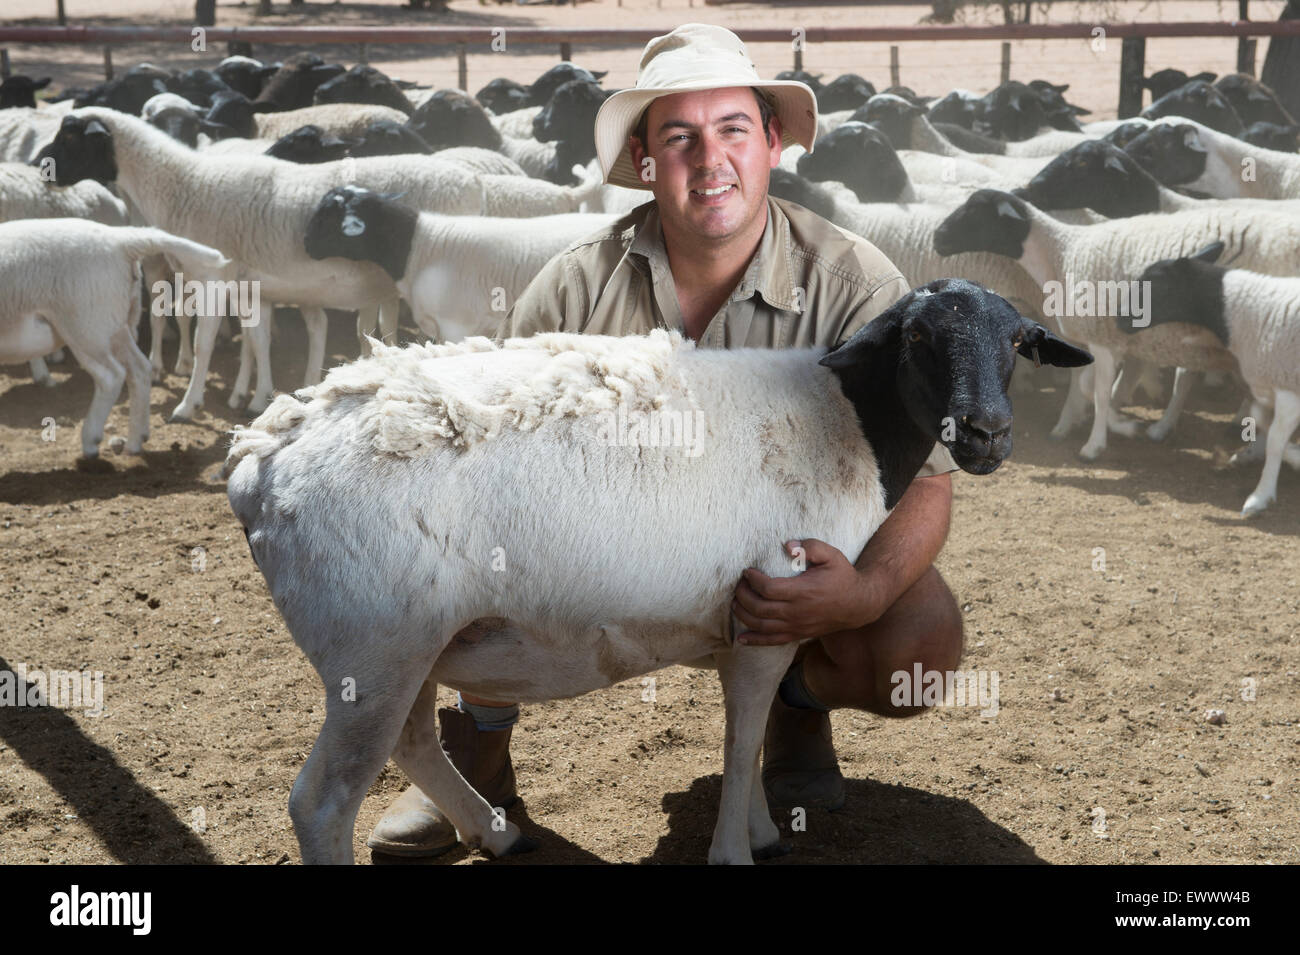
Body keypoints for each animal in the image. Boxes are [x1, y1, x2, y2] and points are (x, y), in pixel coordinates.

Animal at [226, 278, 1097, 867]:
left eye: (1019, 341)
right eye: (917, 338)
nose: (986, 433)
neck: (842, 420)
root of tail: (261, 459)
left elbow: (750, 741)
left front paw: (762, 828)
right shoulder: (764, 617)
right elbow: (742, 738)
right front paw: (738, 848)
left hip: (407, 643)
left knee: (410, 742)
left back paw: (496, 831)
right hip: (373, 645)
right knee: (323, 801)